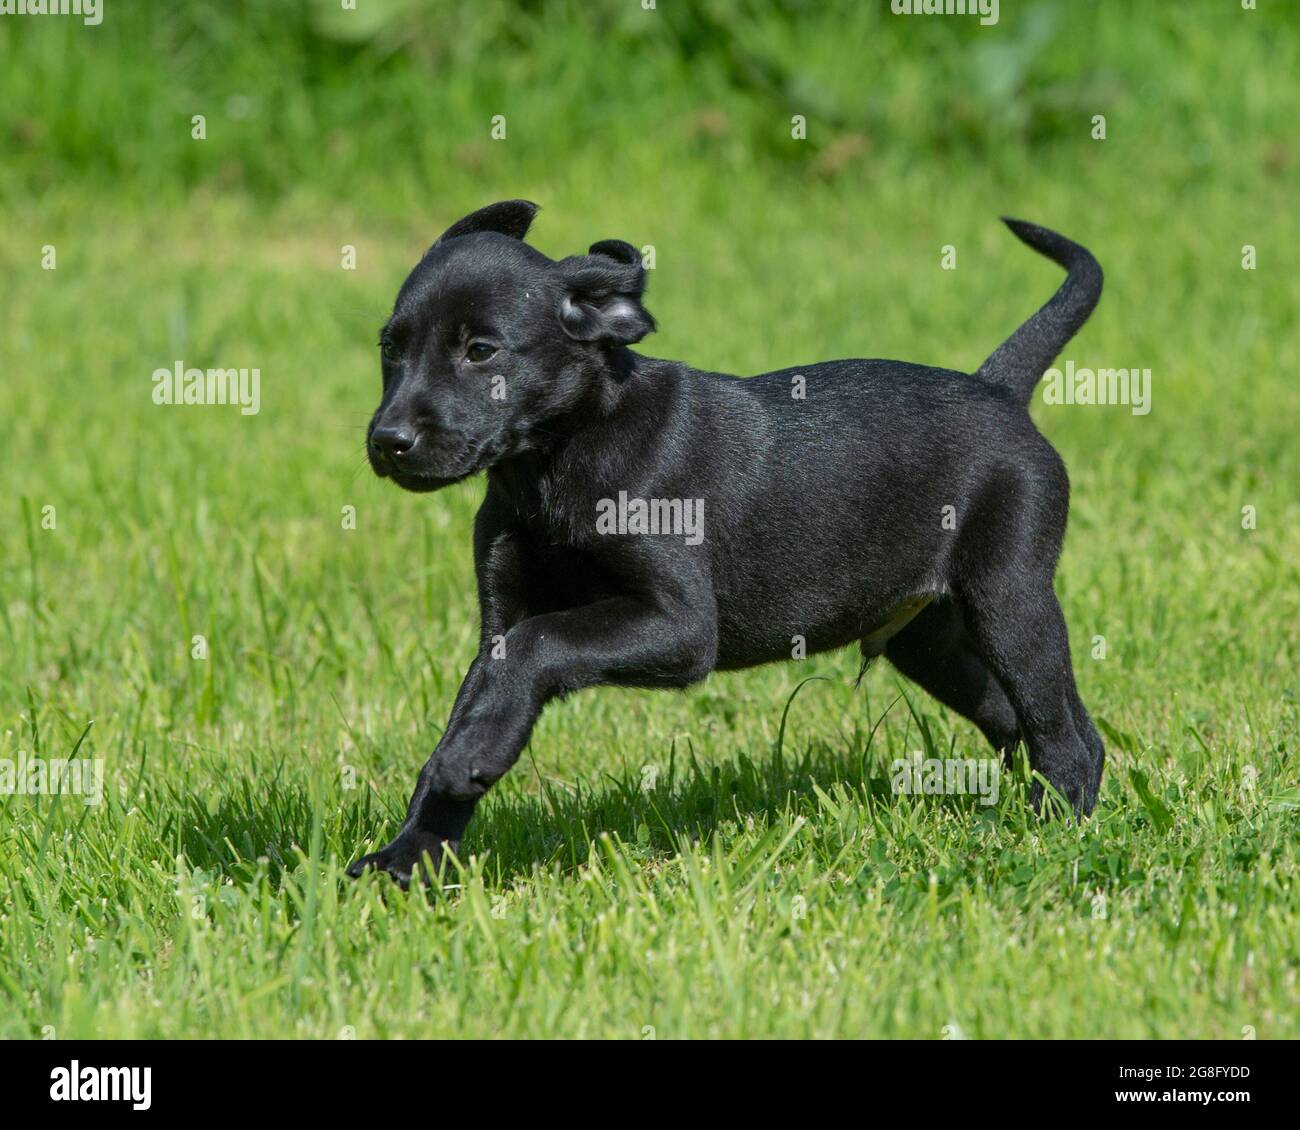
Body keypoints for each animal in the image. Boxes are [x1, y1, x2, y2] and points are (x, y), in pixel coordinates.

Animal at [348, 205, 1107, 889]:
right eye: (389, 348)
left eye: (481, 351)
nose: (388, 442)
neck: (555, 461)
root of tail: (998, 389)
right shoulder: (500, 624)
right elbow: (490, 688)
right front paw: (409, 853)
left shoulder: (681, 626)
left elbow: (543, 643)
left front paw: (464, 765)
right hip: (929, 639)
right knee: (1016, 719)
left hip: (1008, 601)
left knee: (1068, 734)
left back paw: (1054, 831)